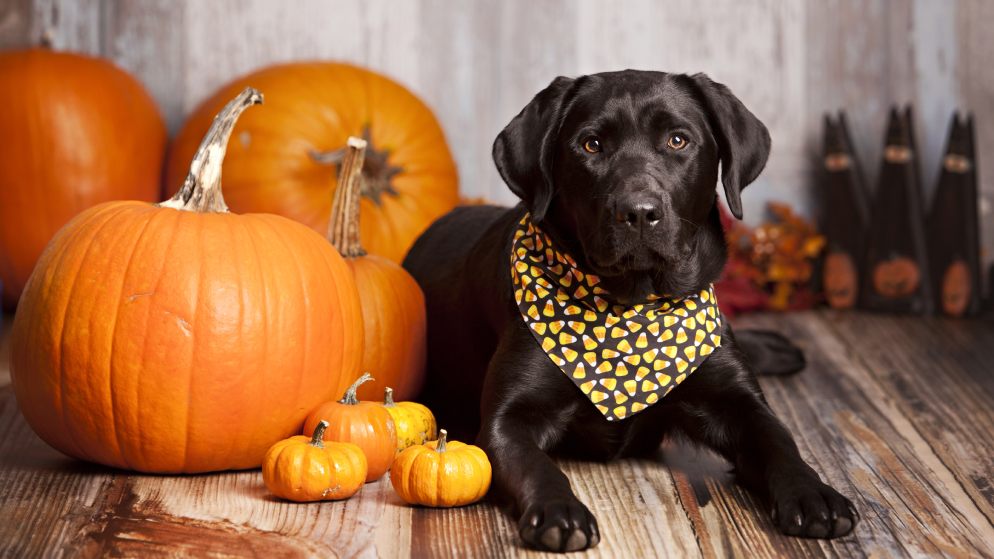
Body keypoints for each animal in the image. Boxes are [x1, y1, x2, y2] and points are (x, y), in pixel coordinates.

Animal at [400, 71, 856, 556]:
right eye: (591, 145)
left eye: (678, 140)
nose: (638, 213)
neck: (633, 308)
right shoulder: (506, 421)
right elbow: (536, 464)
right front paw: (559, 510)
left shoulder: (737, 401)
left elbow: (779, 439)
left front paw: (815, 493)